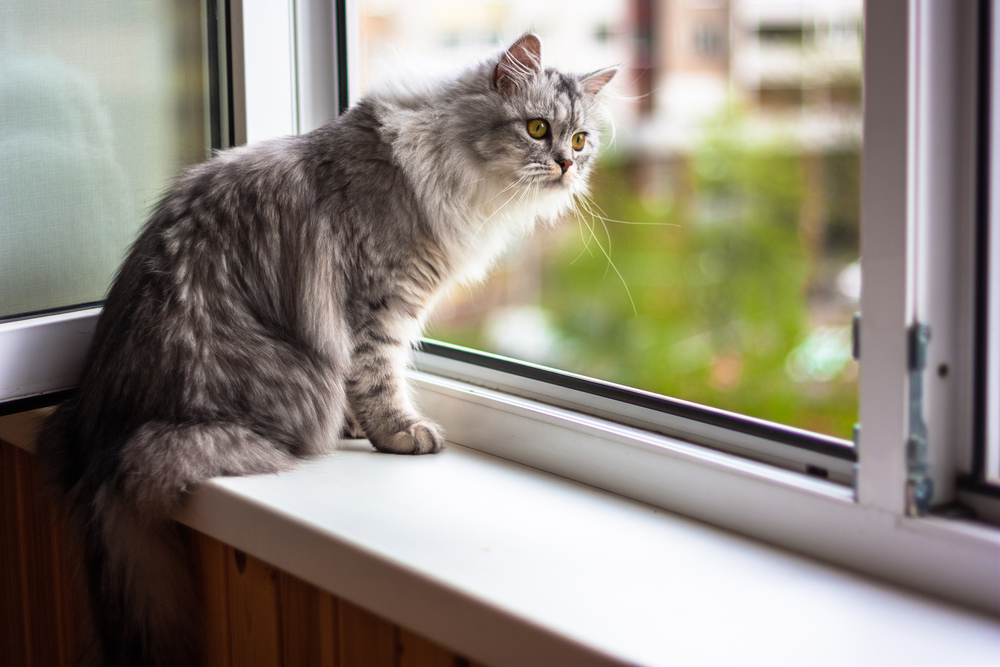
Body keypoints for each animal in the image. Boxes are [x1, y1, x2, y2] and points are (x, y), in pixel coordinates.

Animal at [35, 35, 616, 667]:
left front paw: (360, 426)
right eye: (537, 128)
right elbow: (380, 379)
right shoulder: (378, 306)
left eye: (580, 140)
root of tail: (114, 444)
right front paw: (399, 433)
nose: (566, 165)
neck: (442, 158)